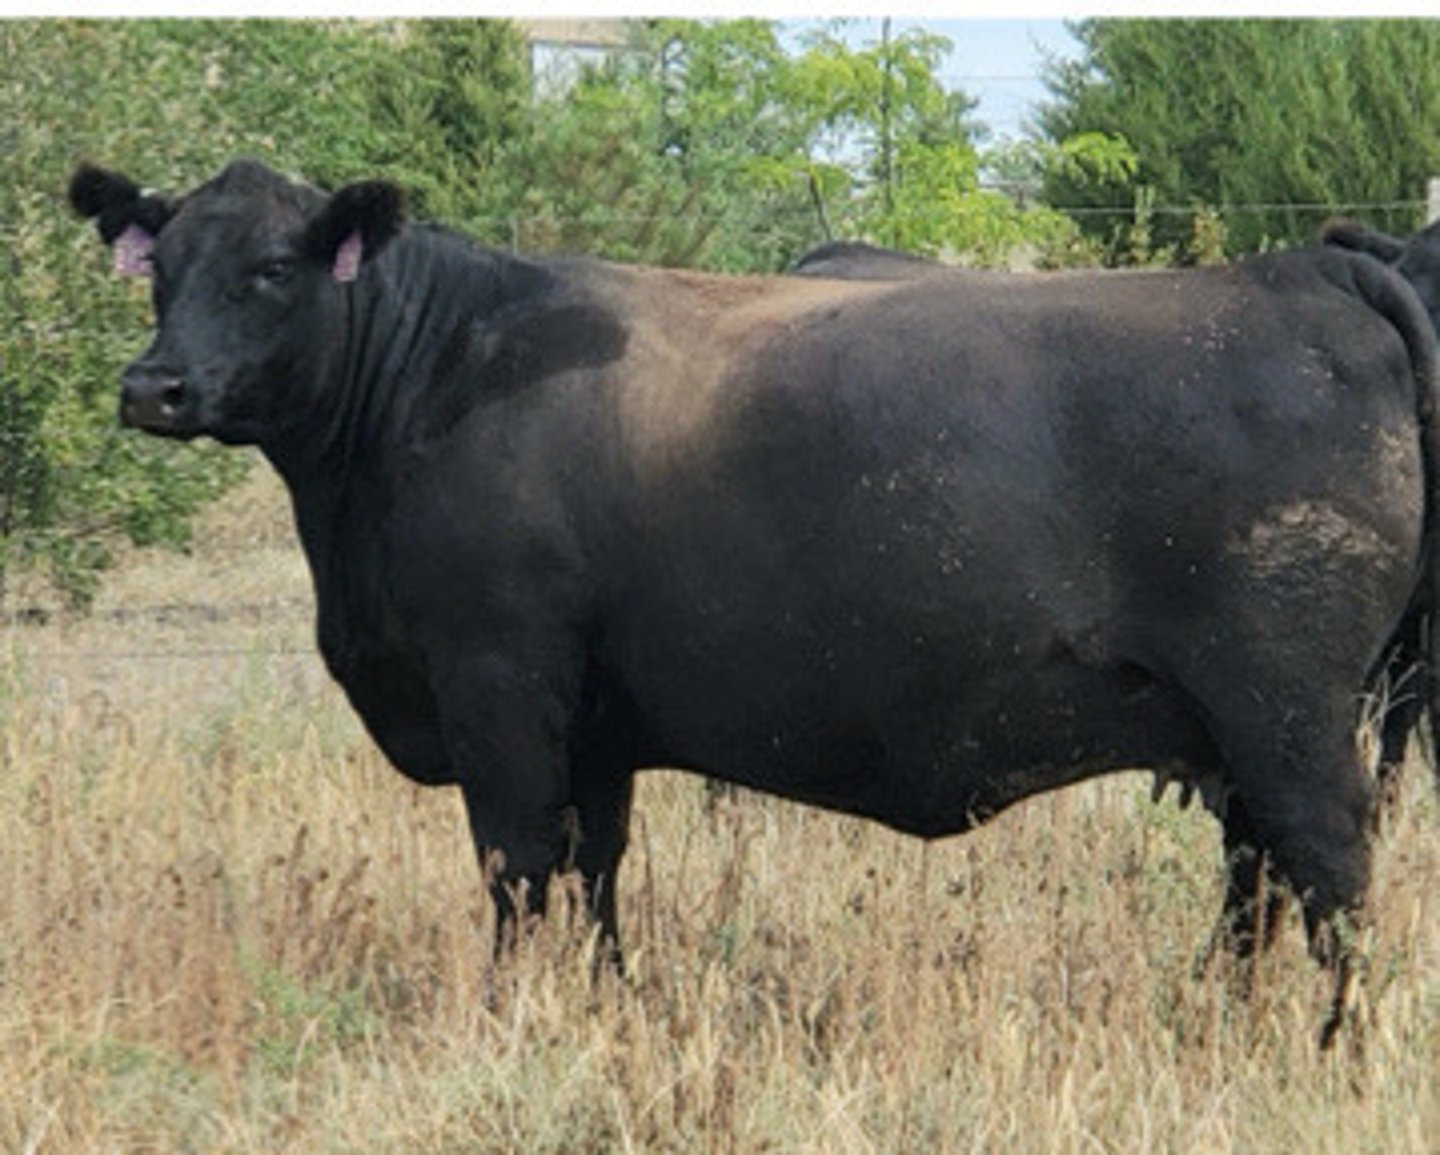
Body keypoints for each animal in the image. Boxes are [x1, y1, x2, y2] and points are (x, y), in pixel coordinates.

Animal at [70, 158, 1439, 1047]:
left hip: (1287, 707)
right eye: (160, 269)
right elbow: (595, 869)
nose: (154, 387)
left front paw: (515, 1022)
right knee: (1258, 875)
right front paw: (608, 1011)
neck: (435, 376)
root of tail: (1302, 272)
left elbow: (517, 867)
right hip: (1235, 724)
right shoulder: (593, 721)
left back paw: (1331, 1043)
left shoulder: (497, 682)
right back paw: (1224, 1020)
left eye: (269, 269)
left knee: (1328, 865)